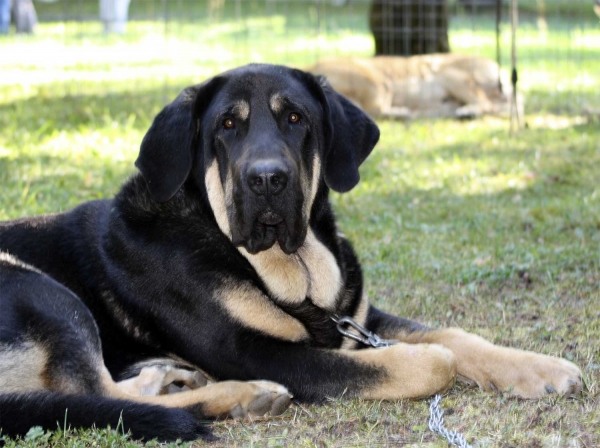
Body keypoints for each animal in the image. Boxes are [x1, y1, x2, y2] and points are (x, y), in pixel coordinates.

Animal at [0, 63, 580, 440]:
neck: (290, 270)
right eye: (226, 125)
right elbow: (422, 360)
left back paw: (167, 378)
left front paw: (541, 368)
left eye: (296, 118)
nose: (267, 179)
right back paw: (242, 395)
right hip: (43, 292)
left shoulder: (356, 316)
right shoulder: (249, 349)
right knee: (99, 395)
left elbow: (457, 335)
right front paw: (430, 360)